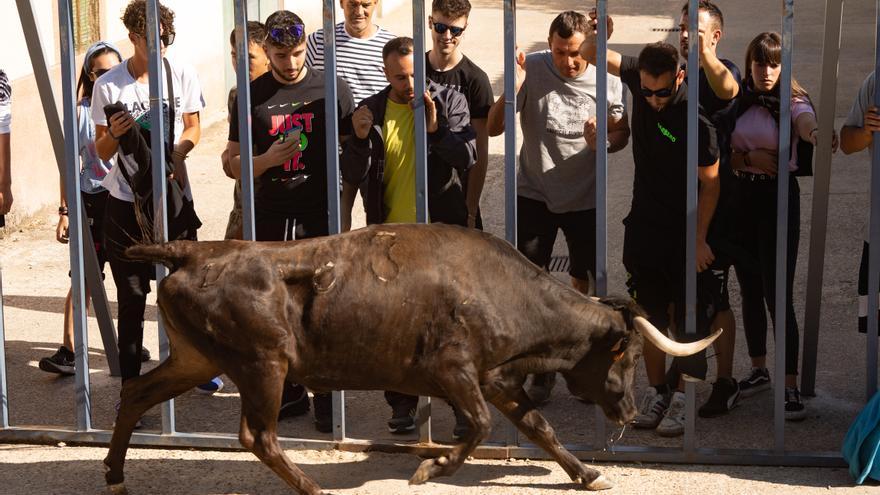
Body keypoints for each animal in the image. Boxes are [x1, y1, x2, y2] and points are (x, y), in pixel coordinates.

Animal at [106, 223, 720, 494]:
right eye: (627, 355)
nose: (628, 413)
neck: (507, 291)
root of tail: (194, 251)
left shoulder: (496, 378)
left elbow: (538, 426)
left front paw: (588, 473)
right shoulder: (456, 372)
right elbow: (479, 426)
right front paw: (430, 467)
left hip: (197, 359)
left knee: (136, 392)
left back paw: (114, 475)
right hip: (264, 364)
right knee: (258, 436)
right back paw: (314, 488)